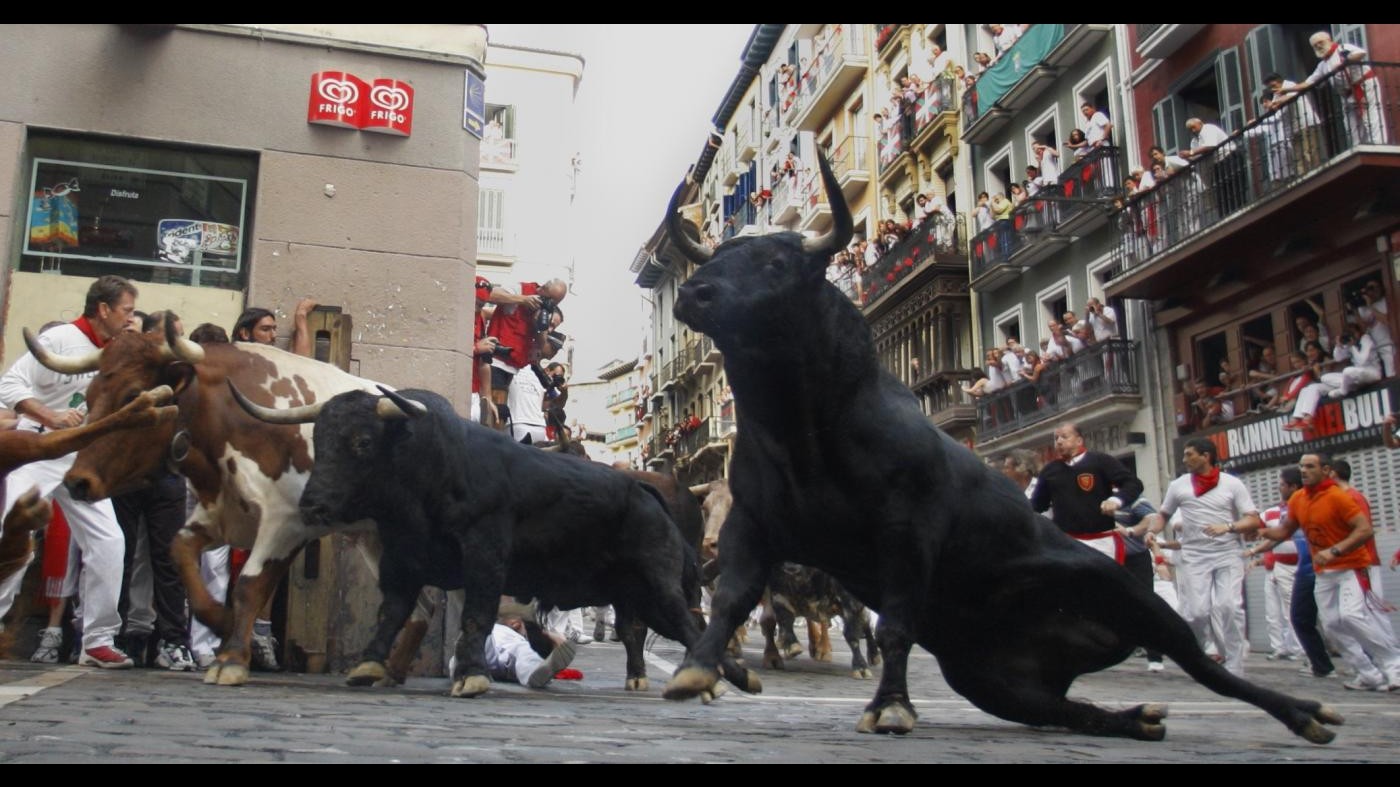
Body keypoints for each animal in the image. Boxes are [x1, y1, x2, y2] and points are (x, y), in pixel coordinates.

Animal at [235, 383, 750, 694]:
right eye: (319, 441)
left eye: (362, 443)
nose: (312, 505)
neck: (433, 470)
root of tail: (645, 492)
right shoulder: (403, 561)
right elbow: (392, 614)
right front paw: (369, 666)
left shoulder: (485, 557)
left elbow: (476, 618)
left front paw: (470, 676)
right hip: (632, 592)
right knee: (640, 630)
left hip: (660, 585)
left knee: (688, 624)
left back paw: (723, 679)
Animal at [655, 151, 1344, 739]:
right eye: (713, 262)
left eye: (775, 264)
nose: (694, 292)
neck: (807, 429)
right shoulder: (754, 526)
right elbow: (734, 600)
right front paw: (697, 669)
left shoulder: (908, 531)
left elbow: (895, 624)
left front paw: (891, 707)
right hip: (990, 679)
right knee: (1071, 711)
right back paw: (1140, 717)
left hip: (1132, 596)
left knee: (1202, 663)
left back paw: (1302, 711)